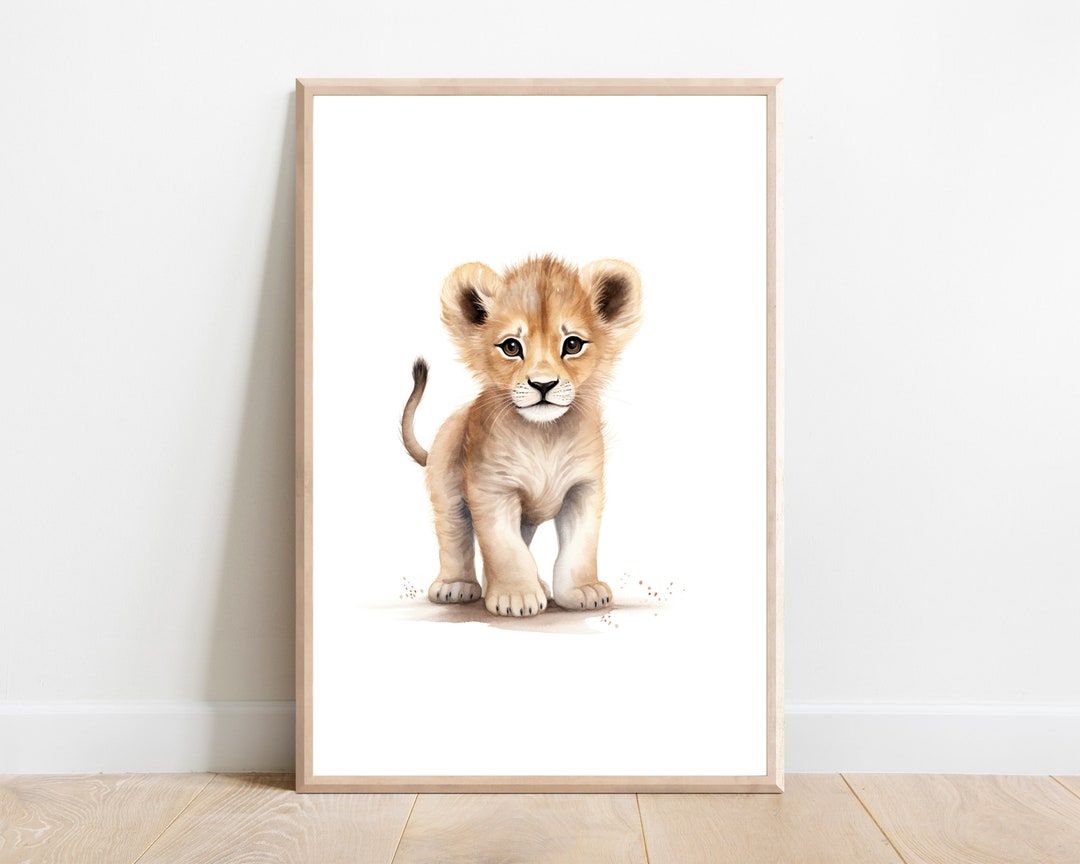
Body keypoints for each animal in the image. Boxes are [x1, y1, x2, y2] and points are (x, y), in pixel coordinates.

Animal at [401, 255, 642, 617]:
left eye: (572, 344)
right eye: (511, 347)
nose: (543, 385)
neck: (545, 435)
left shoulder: (583, 488)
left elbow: (579, 548)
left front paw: (582, 591)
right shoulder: (491, 490)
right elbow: (505, 549)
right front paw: (516, 597)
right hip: (449, 493)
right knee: (455, 536)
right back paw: (457, 586)